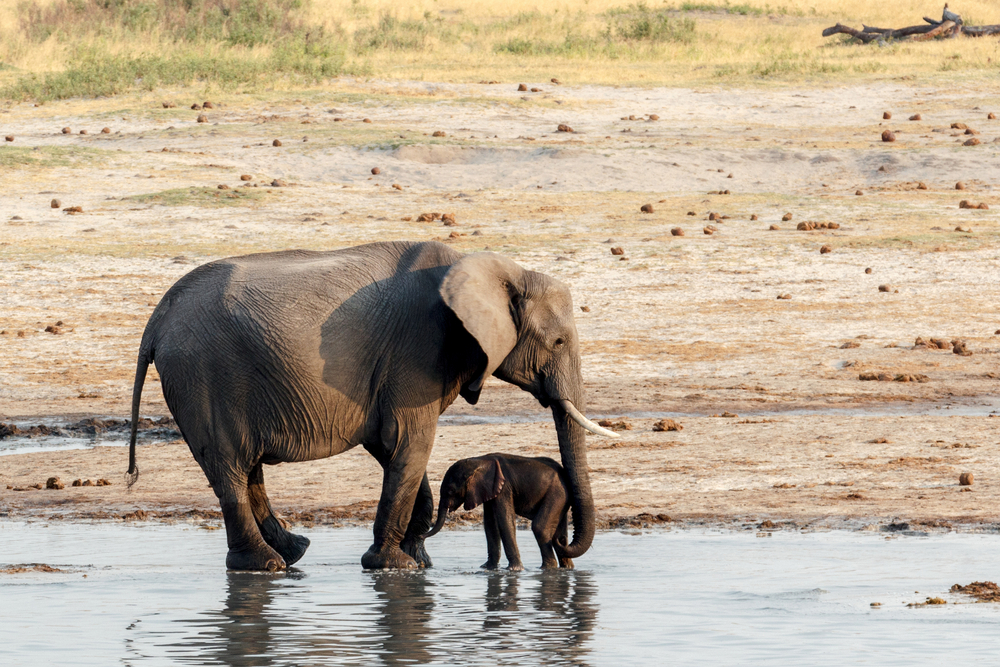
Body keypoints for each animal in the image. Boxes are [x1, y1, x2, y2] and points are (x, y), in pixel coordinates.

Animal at [424, 454, 576, 576]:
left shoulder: (504, 488)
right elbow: (490, 523)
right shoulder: (488, 490)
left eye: (450, 490)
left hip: (557, 493)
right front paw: (487, 568)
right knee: (559, 535)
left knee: (540, 527)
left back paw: (548, 569)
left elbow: (504, 520)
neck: (479, 461)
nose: (421, 536)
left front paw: (514, 570)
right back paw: (567, 568)